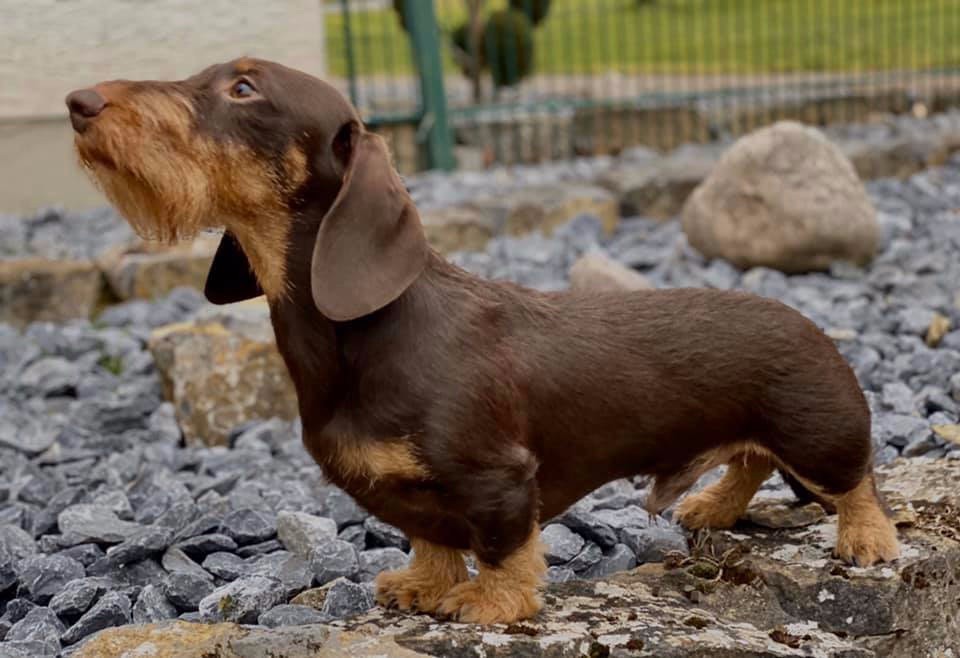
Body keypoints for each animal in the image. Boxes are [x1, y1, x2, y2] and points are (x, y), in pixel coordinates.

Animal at [67, 59, 900, 624]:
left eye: (243, 88)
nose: (79, 102)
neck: (363, 335)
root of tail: (812, 325)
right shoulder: (402, 493)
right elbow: (431, 540)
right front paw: (425, 586)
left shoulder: (498, 480)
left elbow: (502, 547)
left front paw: (491, 602)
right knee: (751, 462)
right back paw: (714, 506)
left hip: (818, 431)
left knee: (857, 478)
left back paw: (865, 538)